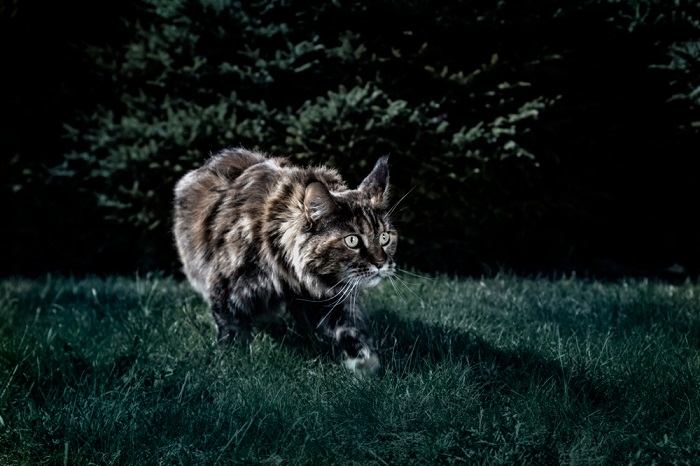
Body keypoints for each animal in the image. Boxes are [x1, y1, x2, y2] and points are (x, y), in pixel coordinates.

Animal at [172, 147, 396, 376]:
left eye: (385, 237)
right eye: (352, 240)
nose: (381, 263)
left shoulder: (326, 297)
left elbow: (350, 329)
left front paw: (364, 364)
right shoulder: (224, 286)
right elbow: (231, 329)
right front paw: (231, 362)